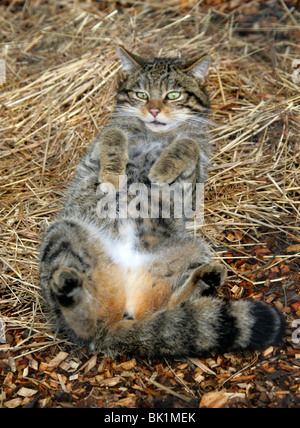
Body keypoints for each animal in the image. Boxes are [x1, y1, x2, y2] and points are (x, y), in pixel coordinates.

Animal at [38, 46, 284, 358]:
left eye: (173, 95)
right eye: (141, 94)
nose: (154, 110)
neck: (156, 135)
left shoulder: (194, 174)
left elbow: (188, 144)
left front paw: (162, 168)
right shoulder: (99, 144)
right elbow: (114, 135)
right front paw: (113, 173)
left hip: (192, 249)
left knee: (164, 313)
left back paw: (206, 278)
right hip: (64, 233)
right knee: (87, 323)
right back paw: (70, 287)